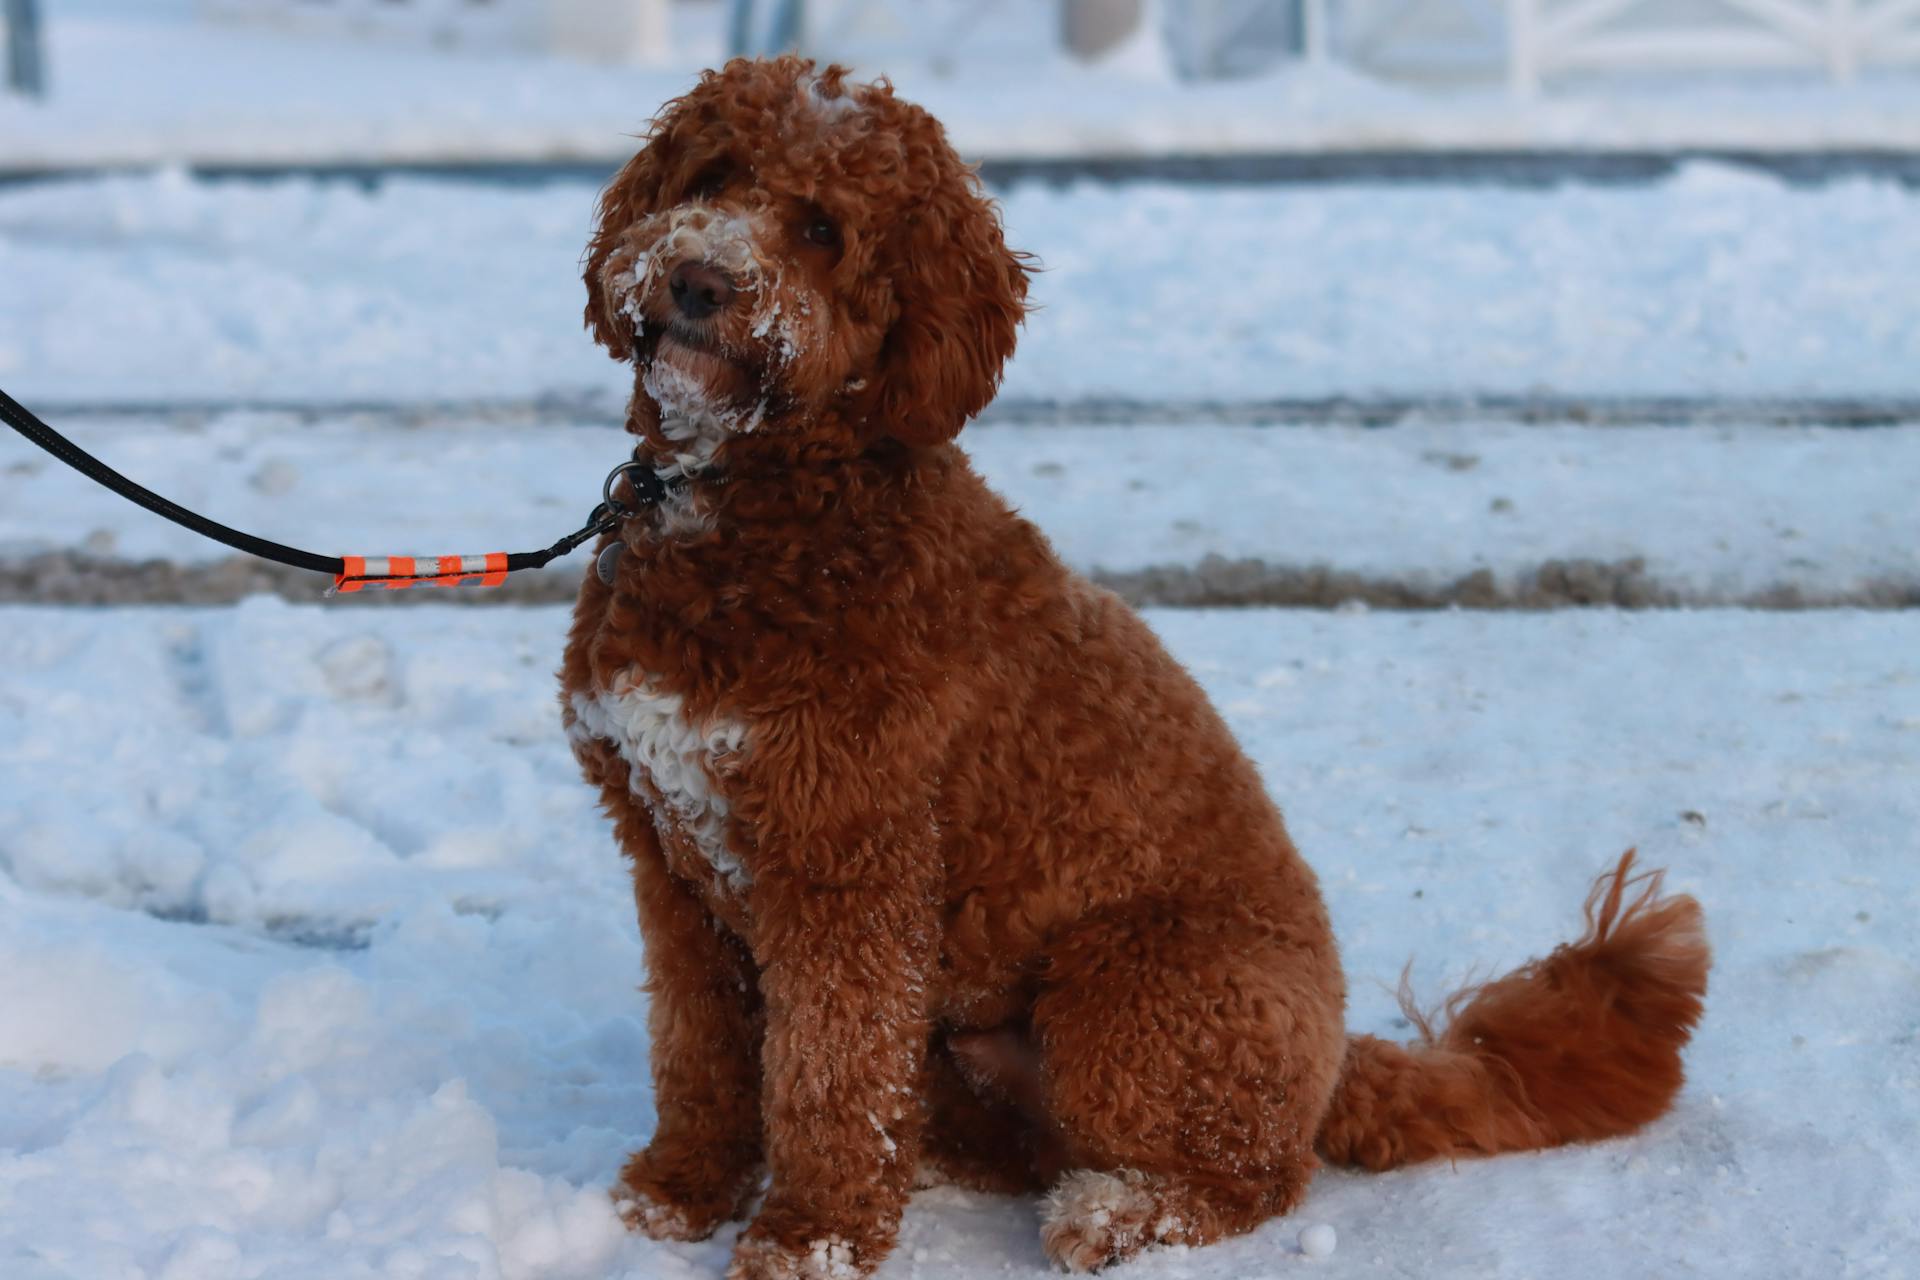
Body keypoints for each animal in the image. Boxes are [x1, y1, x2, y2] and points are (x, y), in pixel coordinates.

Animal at [560, 57, 1712, 1280]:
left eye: (823, 228)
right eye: (713, 174)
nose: (695, 279)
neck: (757, 504)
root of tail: (1338, 1058)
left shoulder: (846, 864)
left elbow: (831, 1071)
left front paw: (806, 1237)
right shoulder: (669, 859)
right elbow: (700, 1047)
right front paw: (680, 1189)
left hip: (1129, 987)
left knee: (1259, 1174)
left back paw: (1116, 1212)